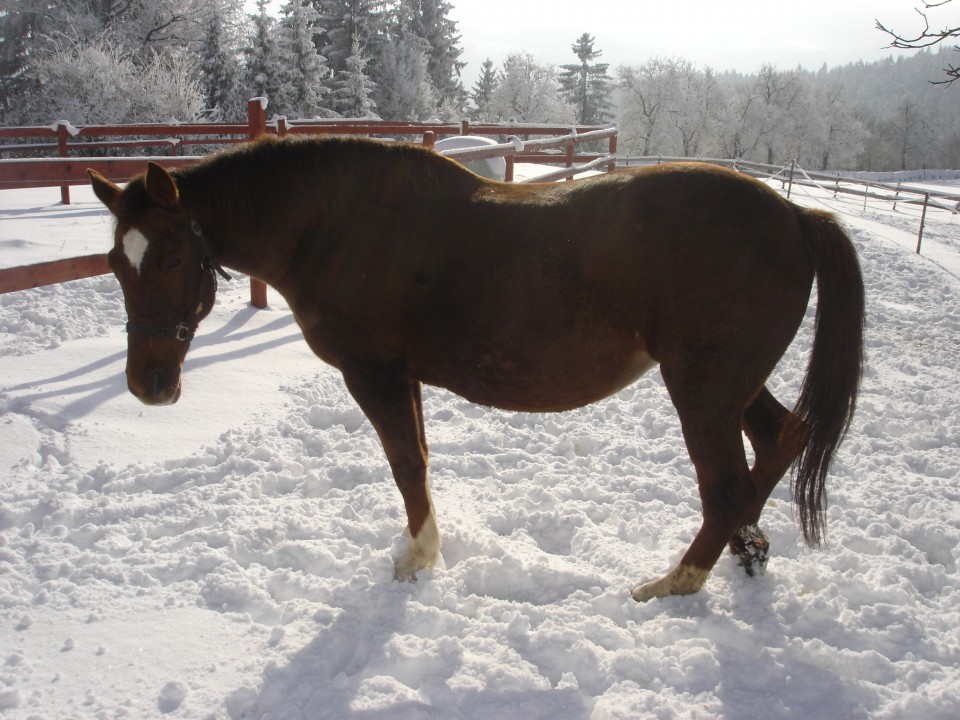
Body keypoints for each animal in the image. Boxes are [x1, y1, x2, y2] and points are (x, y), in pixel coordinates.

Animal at [88, 136, 864, 600]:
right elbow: (419, 460)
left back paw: (677, 581)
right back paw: (746, 548)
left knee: (727, 484)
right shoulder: (401, 375)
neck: (337, 226)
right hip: (729, 384)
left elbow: (406, 463)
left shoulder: (373, 373)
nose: (148, 385)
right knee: (780, 439)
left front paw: (418, 558)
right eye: (116, 264)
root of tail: (798, 216)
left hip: (702, 387)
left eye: (174, 259)